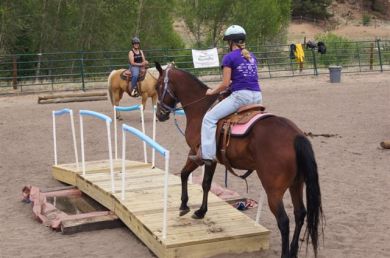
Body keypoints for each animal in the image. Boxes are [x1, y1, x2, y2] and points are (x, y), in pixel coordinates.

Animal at [154, 62, 324, 258]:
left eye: (158, 86)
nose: (160, 114)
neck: (201, 108)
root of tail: (296, 136)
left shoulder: (201, 156)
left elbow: (193, 178)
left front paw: (187, 206)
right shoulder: (208, 159)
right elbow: (198, 180)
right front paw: (197, 210)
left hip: (274, 191)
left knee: (284, 221)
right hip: (296, 184)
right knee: (300, 214)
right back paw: (293, 251)